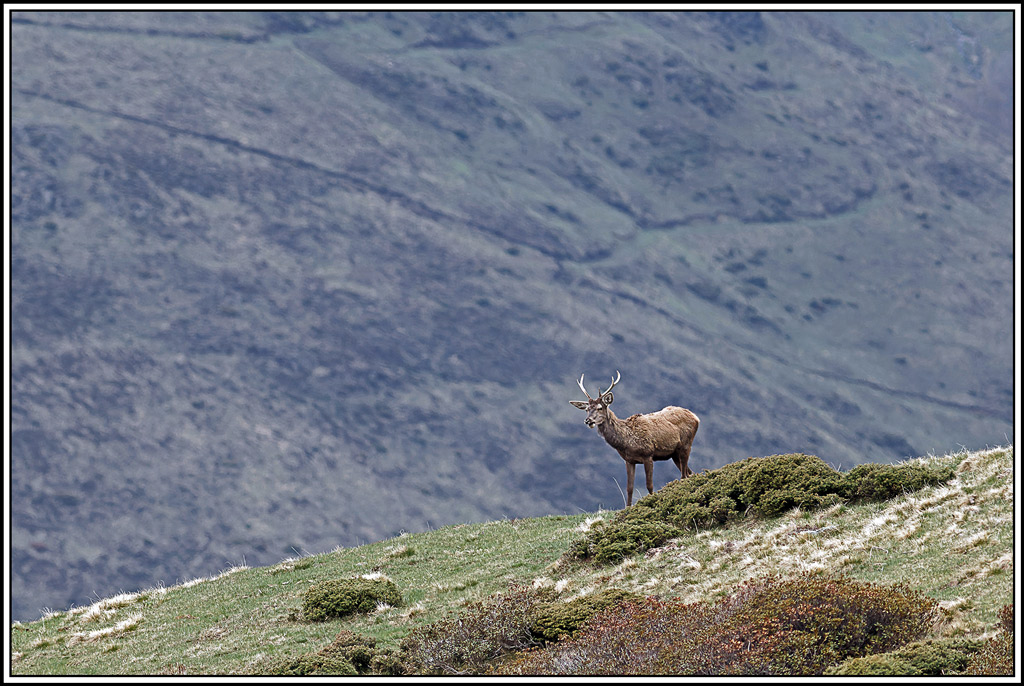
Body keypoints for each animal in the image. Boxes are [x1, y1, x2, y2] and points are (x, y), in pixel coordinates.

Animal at [570, 371, 699, 507]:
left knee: (684, 474)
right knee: (689, 472)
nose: (588, 420)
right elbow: (629, 488)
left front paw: (651, 502)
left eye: (600, 407)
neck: (626, 442)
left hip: (686, 444)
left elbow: (649, 485)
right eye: (587, 409)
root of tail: (695, 416)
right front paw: (628, 507)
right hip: (674, 454)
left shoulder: (648, 455)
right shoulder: (629, 460)